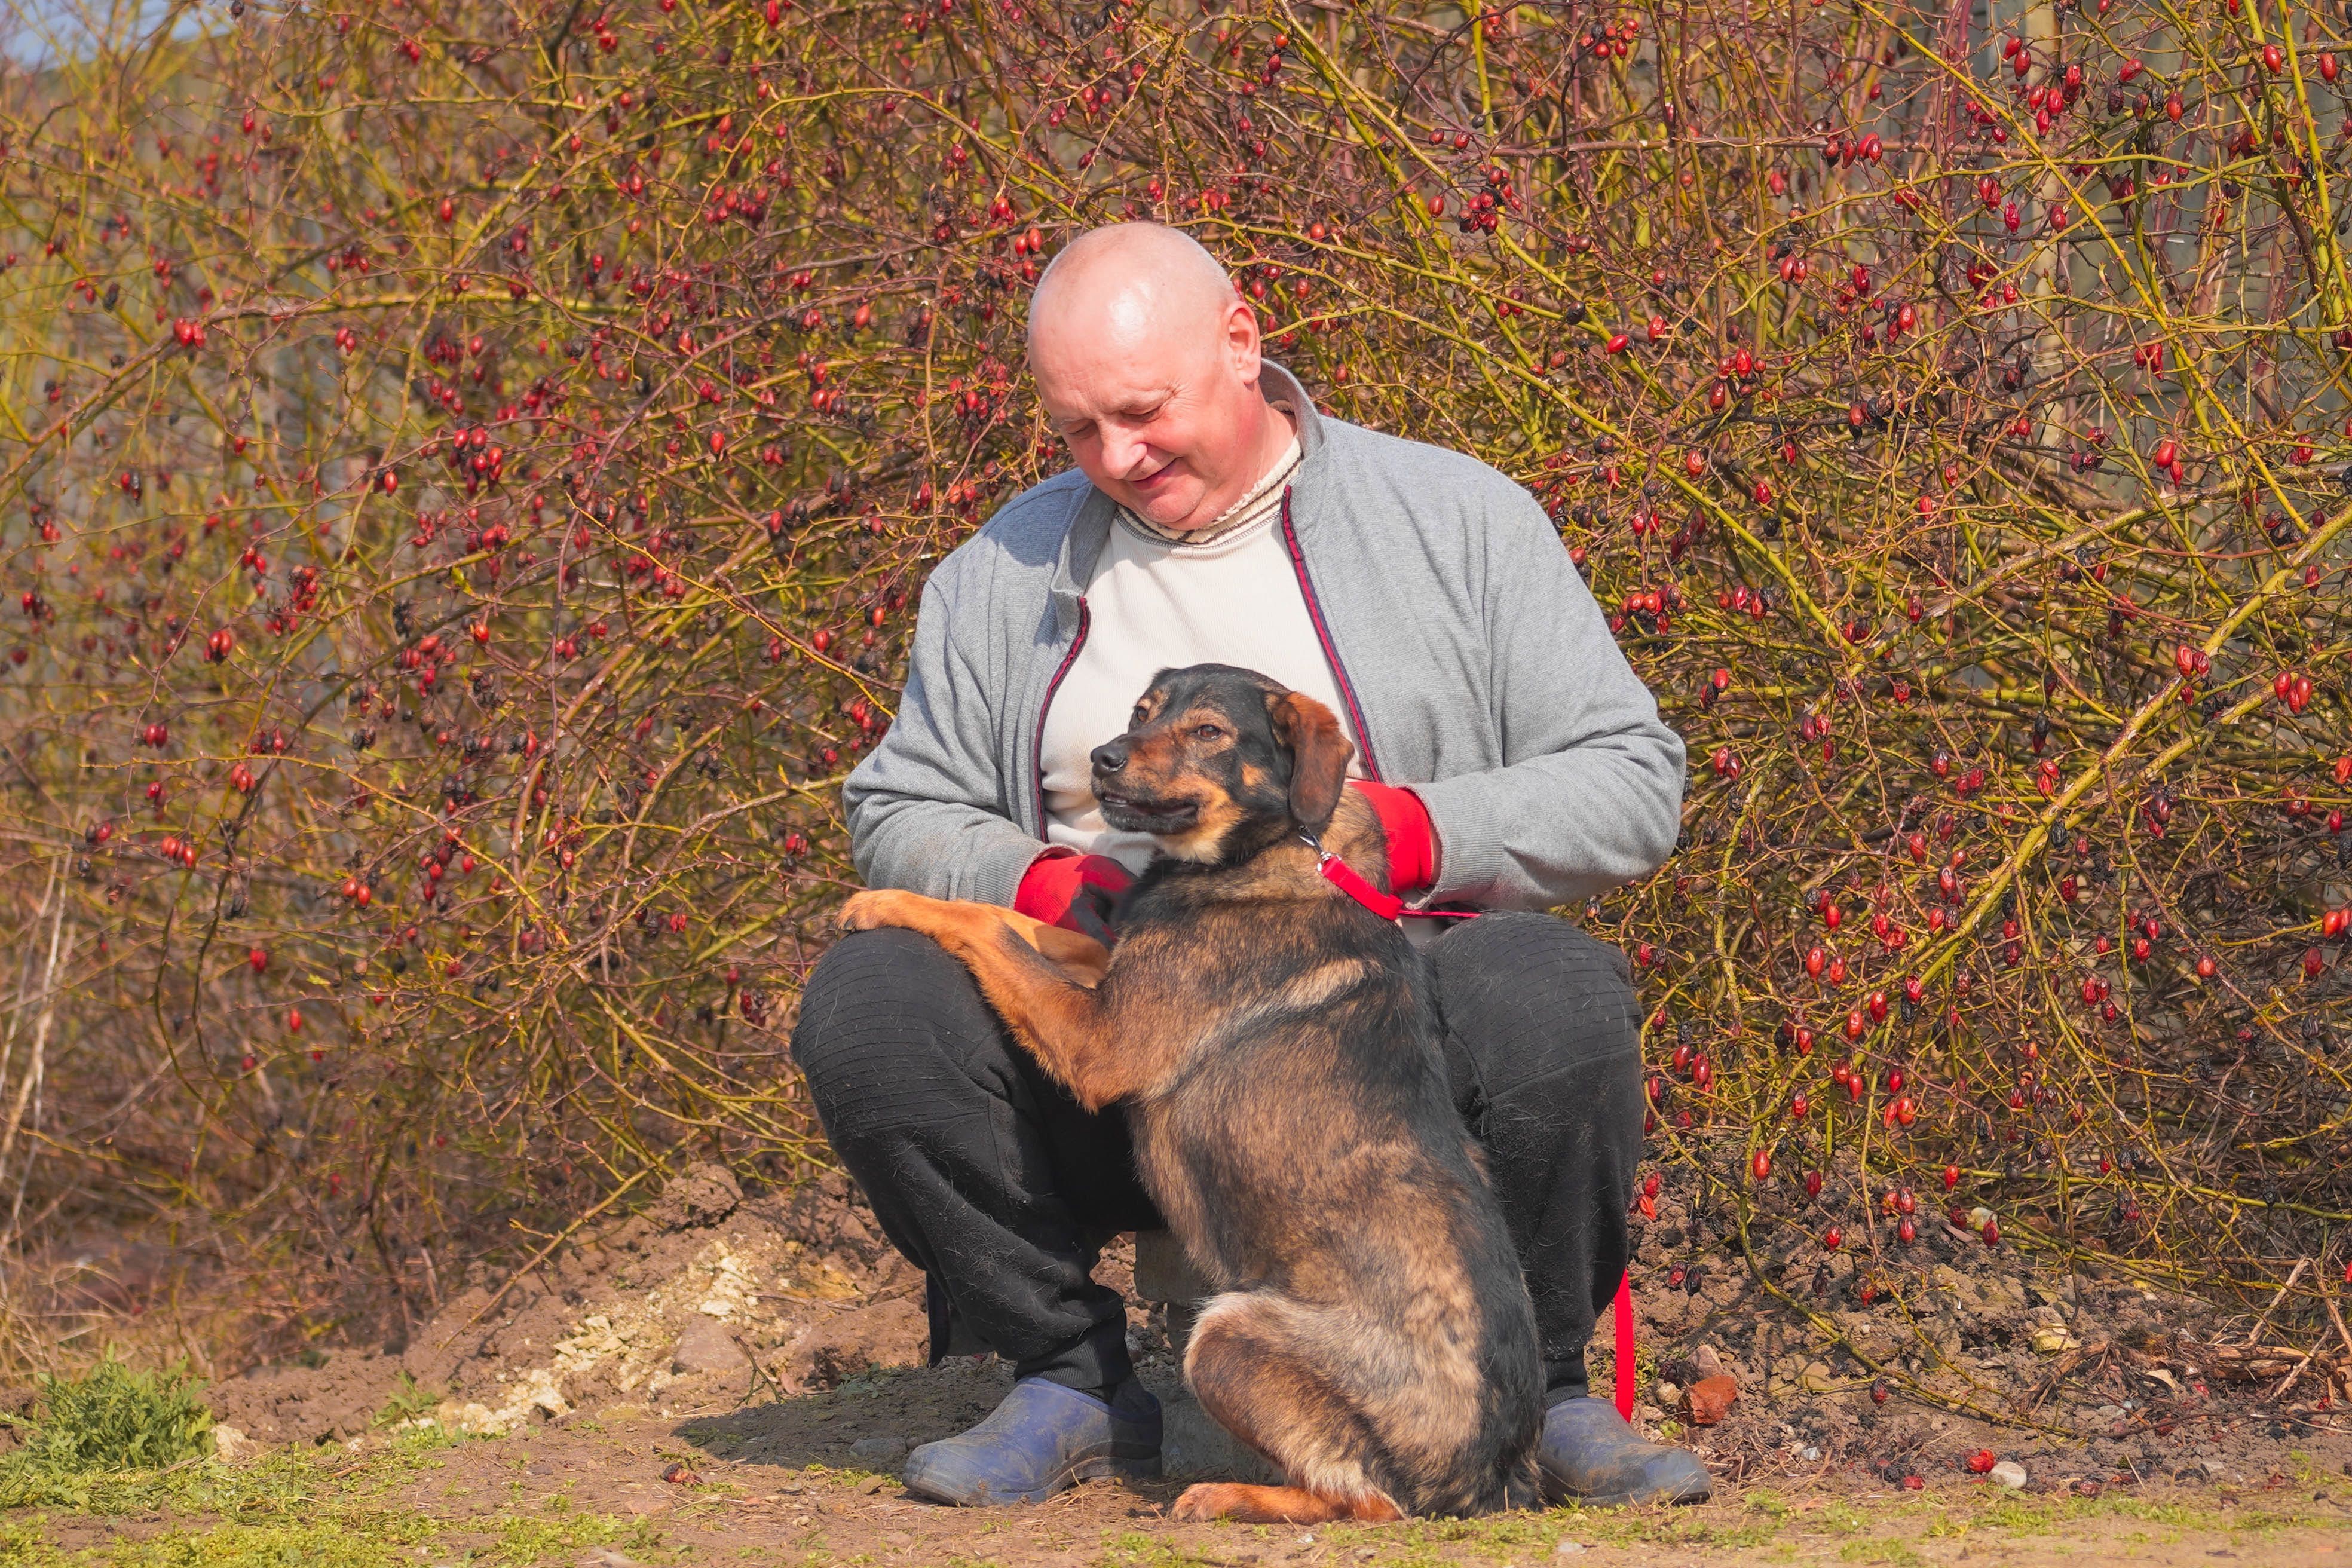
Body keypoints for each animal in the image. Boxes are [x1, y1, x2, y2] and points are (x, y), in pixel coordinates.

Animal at [846, 663, 1543, 1523]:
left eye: (1208, 731)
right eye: (1142, 712)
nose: (1104, 757)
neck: (1271, 845)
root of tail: (1489, 1475)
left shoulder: (1099, 1039)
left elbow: (995, 933)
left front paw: (889, 903)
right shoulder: (1110, 975)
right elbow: (1017, 920)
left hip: (1225, 1335)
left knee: (1363, 1500)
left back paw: (1226, 1493)